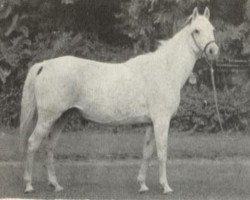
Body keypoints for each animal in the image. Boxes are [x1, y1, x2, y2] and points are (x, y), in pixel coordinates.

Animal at [19, 7, 219, 194]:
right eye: (196, 31)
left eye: (212, 28)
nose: (213, 51)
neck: (165, 69)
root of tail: (44, 65)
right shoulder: (162, 121)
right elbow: (162, 153)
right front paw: (166, 187)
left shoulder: (151, 123)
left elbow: (147, 152)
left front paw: (143, 185)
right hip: (48, 118)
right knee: (32, 144)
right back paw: (29, 185)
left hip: (62, 118)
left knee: (49, 146)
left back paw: (56, 185)